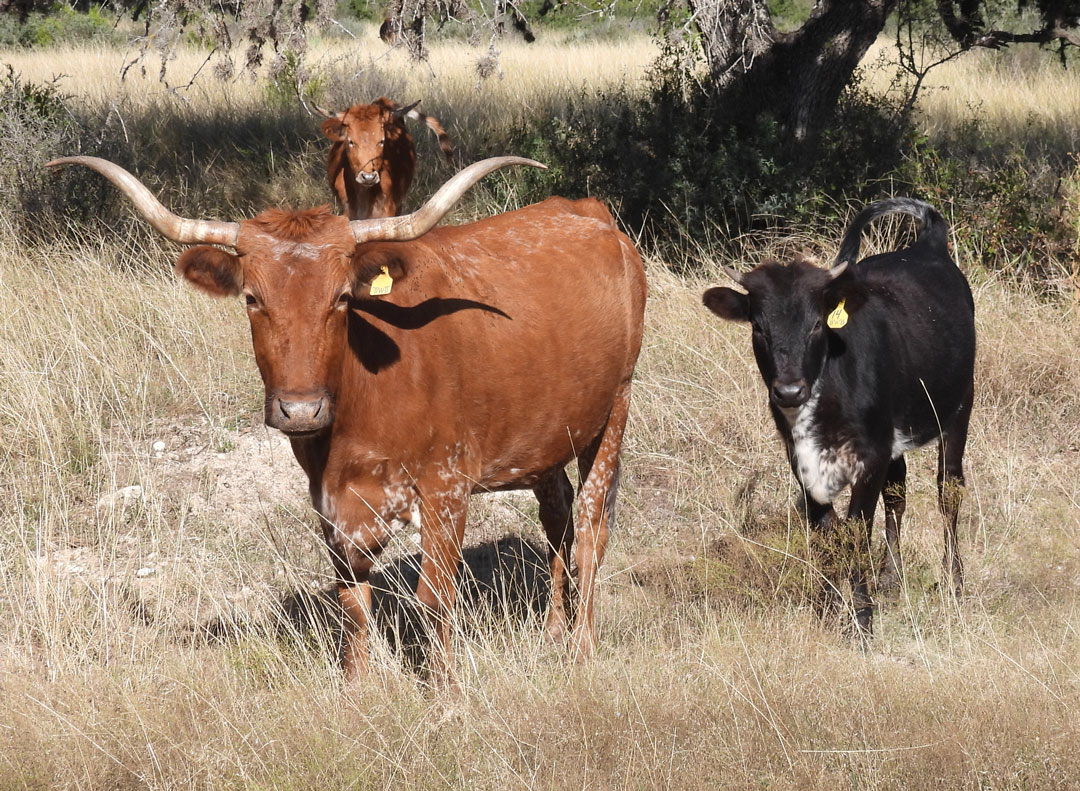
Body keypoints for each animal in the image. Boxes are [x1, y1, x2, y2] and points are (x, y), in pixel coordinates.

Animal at [46, 157, 643, 682]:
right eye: (251, 297)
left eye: (340, 299)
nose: (300, 409)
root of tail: (591, 212)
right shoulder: (332, 503)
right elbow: (352, 601)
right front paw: (358, 690)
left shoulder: (446, 487)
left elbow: (435, 597)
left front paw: (445, 695)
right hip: (549, 434)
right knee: (557, 516)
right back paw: (553, 632)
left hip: (614, 409)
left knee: (590, 527)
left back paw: (581, 650)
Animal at [704, 200, 976, 635]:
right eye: (759, 328)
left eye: (817, 323)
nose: (789, 391)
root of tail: (927, 245)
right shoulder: (802, 460)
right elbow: (828, 535)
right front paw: (827, 610)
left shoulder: (870, 456)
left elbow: (856, 534)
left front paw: (863, 621)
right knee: (897, 496)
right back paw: (890, 581)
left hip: (959, 407)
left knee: (948, 490)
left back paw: (954, 584)